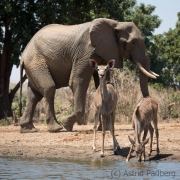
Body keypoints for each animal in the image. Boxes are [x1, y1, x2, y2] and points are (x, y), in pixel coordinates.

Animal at [19, 17, 158, 134]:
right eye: (132, 43)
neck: (115, 23)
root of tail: (24, 54)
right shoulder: (86, 51)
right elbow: (77, 80)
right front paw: (67, 125)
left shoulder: (104, 51)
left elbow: (104, 82)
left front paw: (104, 128)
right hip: (35, 61)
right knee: (49, 88)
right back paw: (56, 128)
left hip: (33, 65)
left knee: (34, 95)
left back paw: (28, 129)